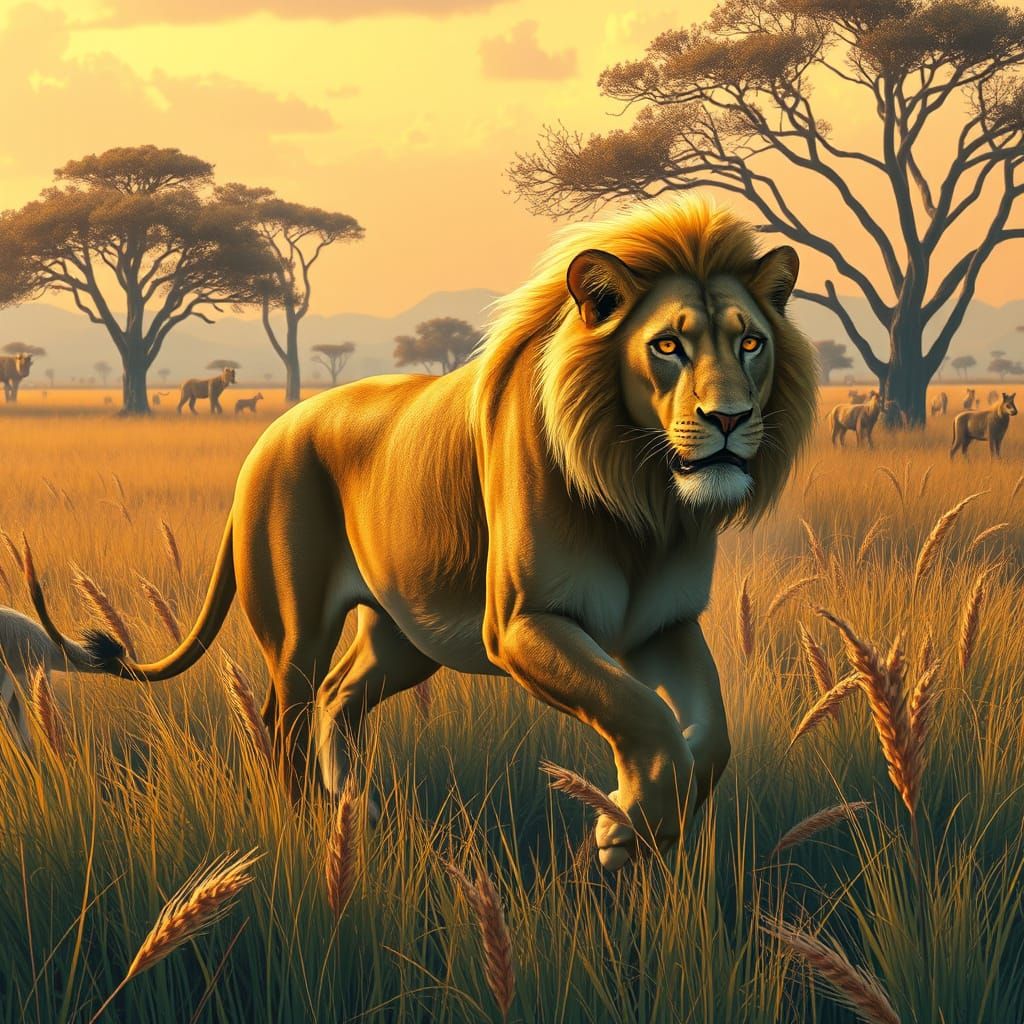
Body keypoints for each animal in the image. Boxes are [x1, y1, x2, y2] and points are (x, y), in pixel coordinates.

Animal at [26, 196, 817, 870]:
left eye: (750, 342)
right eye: (668, 346)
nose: (729, 419)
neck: (644, 500)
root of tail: (269, 435)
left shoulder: (664, 624)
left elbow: (710, 737)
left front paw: (625, 822)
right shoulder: (523, 623)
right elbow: (641, 711)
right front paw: (623, 827)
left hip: (405, 635)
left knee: (339, 698)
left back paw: (355, 812)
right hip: (297, 629)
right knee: (281, 717)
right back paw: (303, 823)